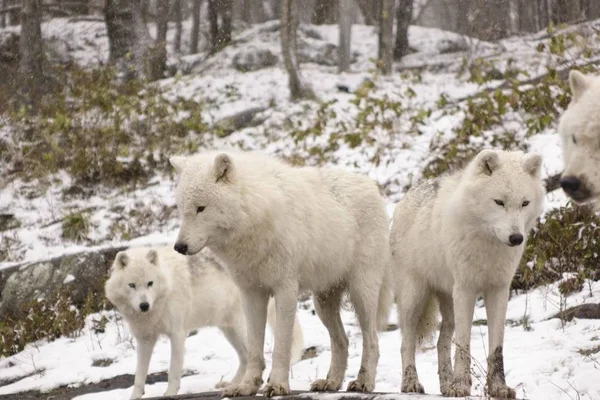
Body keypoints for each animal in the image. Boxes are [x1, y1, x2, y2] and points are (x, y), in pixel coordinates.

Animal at [102, 245, 304, 398]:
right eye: (132, 285)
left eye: (150, 283)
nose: (144, 305)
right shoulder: (144, 340)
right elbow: (139, 377)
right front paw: (135, 396)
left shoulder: (177, 334)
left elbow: (173, 372)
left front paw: (169, 393)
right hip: (228, 330)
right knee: (245, 357)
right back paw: (230, 385)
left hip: (241, 328)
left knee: (254, 356)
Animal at [170, 152, 394, 398]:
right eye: (182, 209)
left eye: (201, 208)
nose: (179, 247)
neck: (255, 215)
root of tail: (370, 185)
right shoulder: (251, 294)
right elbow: (254, 347)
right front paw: (248, 386)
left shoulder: (285, 289)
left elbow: (280, 346)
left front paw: (277, 385)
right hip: (323, 303)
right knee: (341, 341)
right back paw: (331, 382)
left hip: (361, 293)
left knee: (371, 339)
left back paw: (363, 382)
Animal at [392, 149, 548, 396]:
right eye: (499, 202)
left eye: (525, 203)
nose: (516, 238)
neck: (488, 244)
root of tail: (406, 196)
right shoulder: (466, 289)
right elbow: (464, 343)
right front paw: (461, 386)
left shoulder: (499, 290)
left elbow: (496, 347)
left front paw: (498, 388)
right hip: (414, 298)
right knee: (406, 342)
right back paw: (411, 383)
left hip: (449, 302)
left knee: (442, 342)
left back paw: (445, 386)